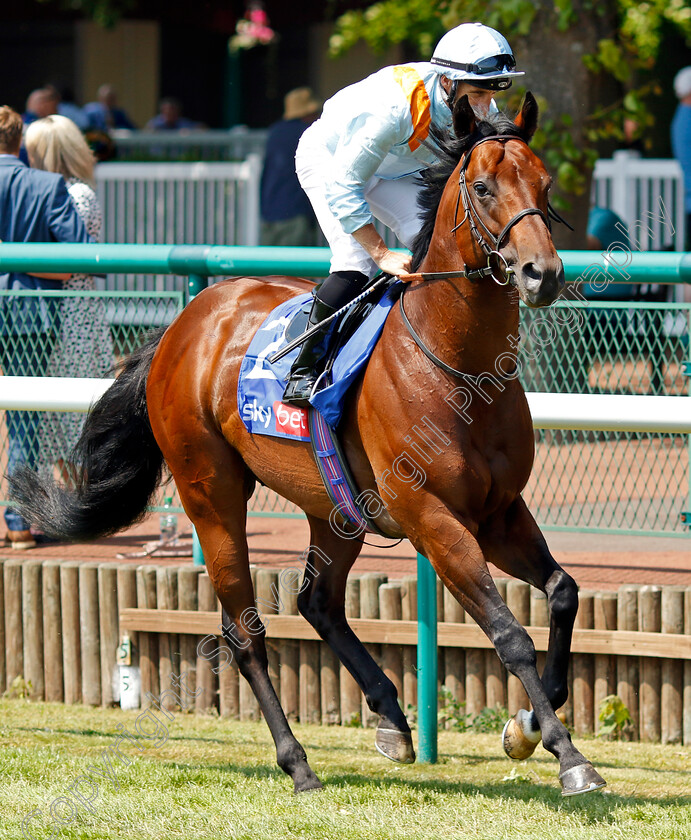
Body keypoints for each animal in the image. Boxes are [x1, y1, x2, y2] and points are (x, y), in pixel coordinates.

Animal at [10, 95, 604, 796]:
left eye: (546, 185)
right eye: (483, 187)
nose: (544, 273)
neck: (458, 369)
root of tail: (182, 325)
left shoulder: (499, 511)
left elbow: (564, 591)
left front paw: (528, 724)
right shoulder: (434, 518)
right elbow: (509, 634)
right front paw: (568, 755)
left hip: (336, 506)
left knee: (317, 601)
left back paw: (391, 719)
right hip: (211, 494)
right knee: (244, 632)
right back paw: (298, 762)